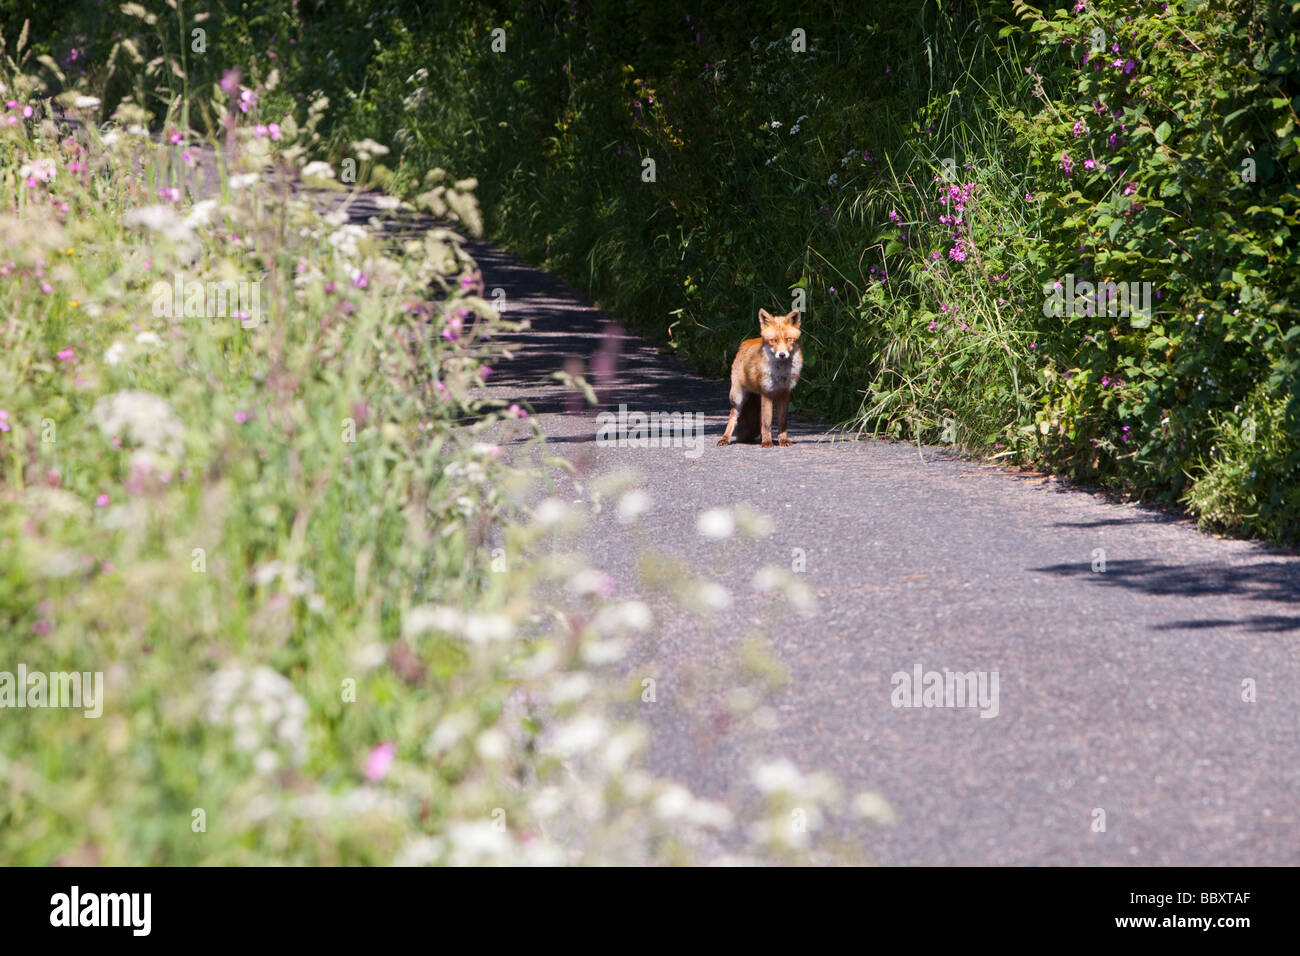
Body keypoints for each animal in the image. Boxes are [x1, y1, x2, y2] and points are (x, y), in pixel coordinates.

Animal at [717, 310, 795, 452]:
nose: (782, 354)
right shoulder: (767, 394)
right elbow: (766, 422)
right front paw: (768, 441)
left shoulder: (782, 394)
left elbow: (778, 421)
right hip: (738, 398)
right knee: (733, 417)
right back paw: (725, 438)